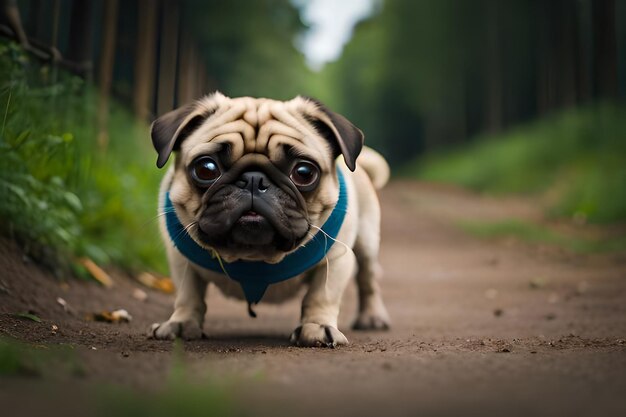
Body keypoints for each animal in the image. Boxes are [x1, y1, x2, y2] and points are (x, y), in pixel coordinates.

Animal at [148, 92, 388, 346]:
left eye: (304, 173)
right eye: (206, 168)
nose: (254, 179)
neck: (254, 256)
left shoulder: (336, 258)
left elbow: (321, 295)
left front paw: (316, 326)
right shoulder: (180, 258)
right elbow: (188, 292)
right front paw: (182, 323)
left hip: (367, 242)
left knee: (367, 279)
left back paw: (372, 317)